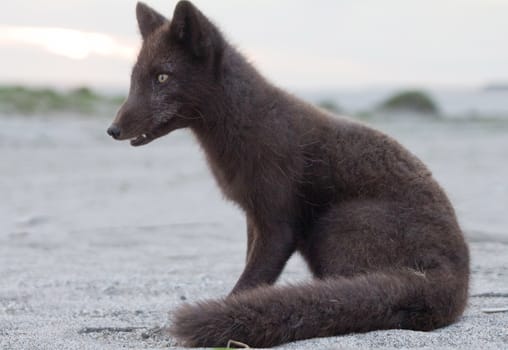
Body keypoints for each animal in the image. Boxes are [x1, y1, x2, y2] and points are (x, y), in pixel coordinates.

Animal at [106, 2, 468, 348]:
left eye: (162, 77)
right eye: (134, 78)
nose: (113, 130)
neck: (246, 124)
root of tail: (455, 278)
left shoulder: (278, 224)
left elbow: (250, 282)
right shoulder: (253, 217)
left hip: (335, 224)